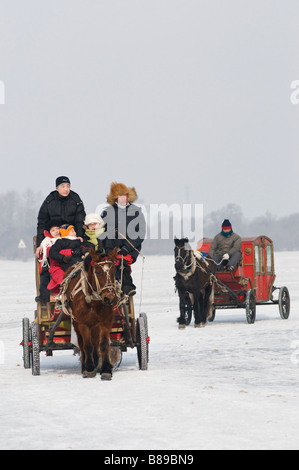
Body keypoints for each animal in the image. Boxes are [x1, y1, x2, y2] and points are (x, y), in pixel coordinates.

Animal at [63, 248, 118, 380]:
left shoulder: (105, 322)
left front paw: (106, 369)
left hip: (95, 325)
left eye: (114, 270)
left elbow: (103, 345)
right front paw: (88, 368)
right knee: (82, 345)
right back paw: (85, 367)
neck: (93, 301)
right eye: (97, 271)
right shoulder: (83, 323)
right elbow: (87, 346)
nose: (110, 298)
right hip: (77, 323)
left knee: (95, 343)